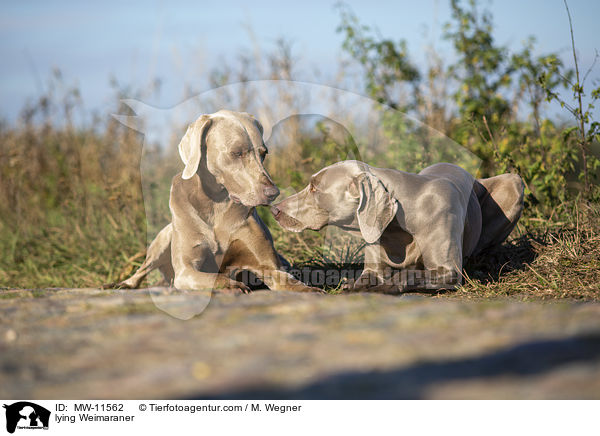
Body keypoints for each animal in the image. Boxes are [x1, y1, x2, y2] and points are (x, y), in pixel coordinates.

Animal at [115, 109, 316, 292]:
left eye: (263, 153)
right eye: (237, 153)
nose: (273, 192)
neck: (215, 206)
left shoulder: (266, 264)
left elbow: (286, 278)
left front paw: (309, 289)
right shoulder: (186, 271)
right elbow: (213, 277)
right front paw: (232, 284)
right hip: (163, 239)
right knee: (143, 268)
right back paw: (124, 284)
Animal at [270, 160, 524, 292]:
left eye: (314, 188)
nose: (274, 209)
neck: (398, 228)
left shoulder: (449, 271)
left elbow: (407, 274)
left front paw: (387, 286)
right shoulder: (373, 262)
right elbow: (365, 277)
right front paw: (352, 285)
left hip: (514, 182)